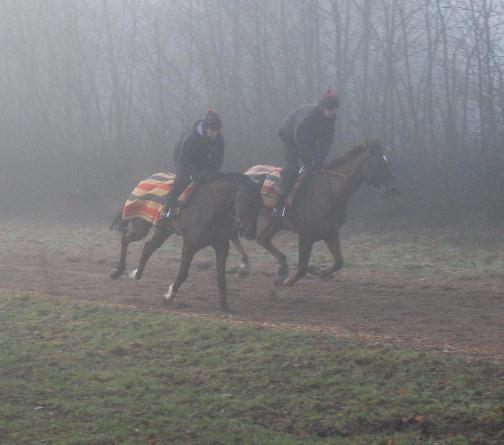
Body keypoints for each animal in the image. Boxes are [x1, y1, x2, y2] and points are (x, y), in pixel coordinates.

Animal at [110, 172, 264, 310]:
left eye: (259, 204)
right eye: (247, 202)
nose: (251, 234)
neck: (211, 209)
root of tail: (146, 179)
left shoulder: (222, 246)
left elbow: (221, 276)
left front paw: (224, 305)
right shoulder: (190, 245)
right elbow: (183, 273)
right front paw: (169, 296)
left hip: (164, 230)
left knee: (149, 246)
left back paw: (137, 273)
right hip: (140, 226)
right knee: (126, 238)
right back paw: (117, 271)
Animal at [236, 140, 398, 286]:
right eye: (378, 163)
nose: (393, 188)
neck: (329, 194)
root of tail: (247, 172)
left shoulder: (331, 233)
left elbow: (338, 263)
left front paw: (316, 270)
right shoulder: (305, 235)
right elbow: (302, 268)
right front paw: (288, 281)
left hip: (276, 222)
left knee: (262, 239)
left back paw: (282, 265)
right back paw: (245, 267)